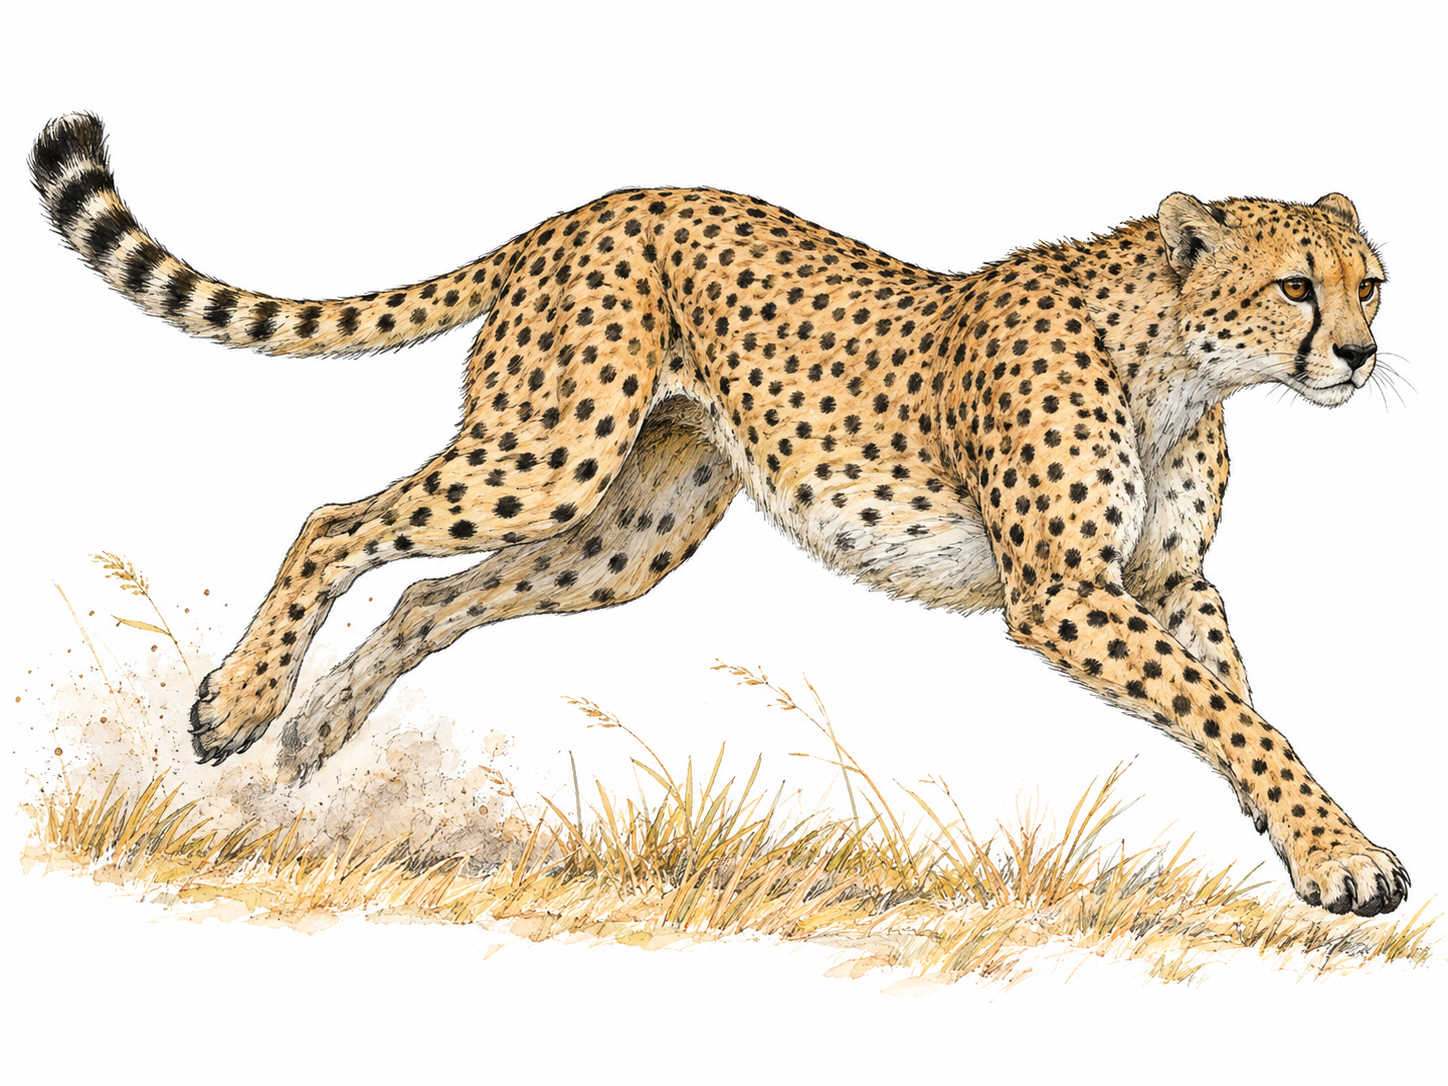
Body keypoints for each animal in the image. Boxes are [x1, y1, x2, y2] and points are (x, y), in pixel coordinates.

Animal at [31, 112, 1408, 916]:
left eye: (1372, 284)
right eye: (1297, 287)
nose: (1355, 357)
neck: (1181, 364)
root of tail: (575, 212)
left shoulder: (1168, 582)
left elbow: (1235, 698)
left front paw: (1311, 846)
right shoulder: (1063, 594)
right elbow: (1232, 714)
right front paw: (1337, 857)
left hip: (624, 534)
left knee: (431, 591)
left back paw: (311, 739)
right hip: (548, 453)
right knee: (335, 520)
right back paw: (236, 705)